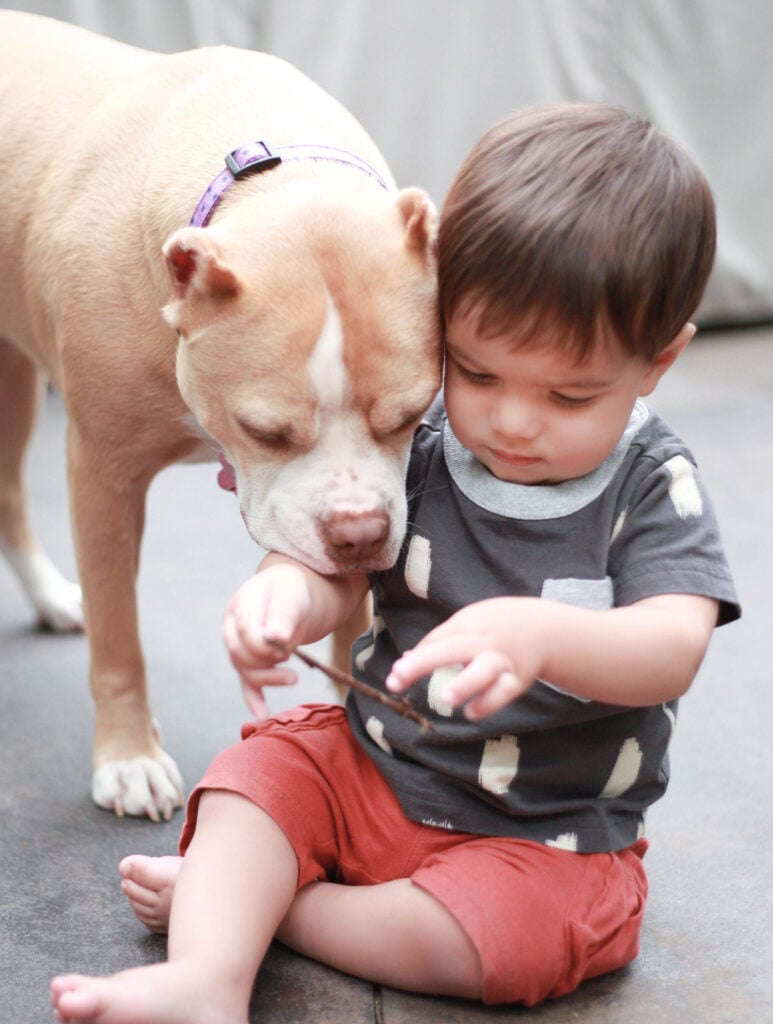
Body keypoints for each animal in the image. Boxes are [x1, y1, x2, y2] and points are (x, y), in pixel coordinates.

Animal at [0, 12, 442, 819]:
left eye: (411, 414)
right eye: (265, 431)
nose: (357, 534)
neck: (270, 171)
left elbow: (350, 623)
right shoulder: (103, 475)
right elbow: (119, 635)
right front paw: (127, 758)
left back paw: (48, 596)